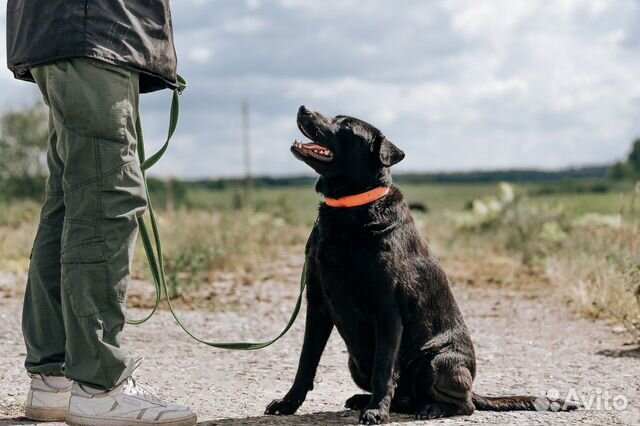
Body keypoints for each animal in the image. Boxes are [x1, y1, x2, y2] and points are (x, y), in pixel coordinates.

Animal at [264, 105, 576, 422]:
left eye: (347, 126)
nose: (303, 108)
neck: (351, 208)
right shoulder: (317, 303)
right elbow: (306, 362)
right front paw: (288, 403)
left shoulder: (387, 310)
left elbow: (383, 369)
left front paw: (376, 411)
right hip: (356, 363)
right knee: (405, 396)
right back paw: (366, 399)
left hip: (436, 361)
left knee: (464, 404)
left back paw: (429, 407)